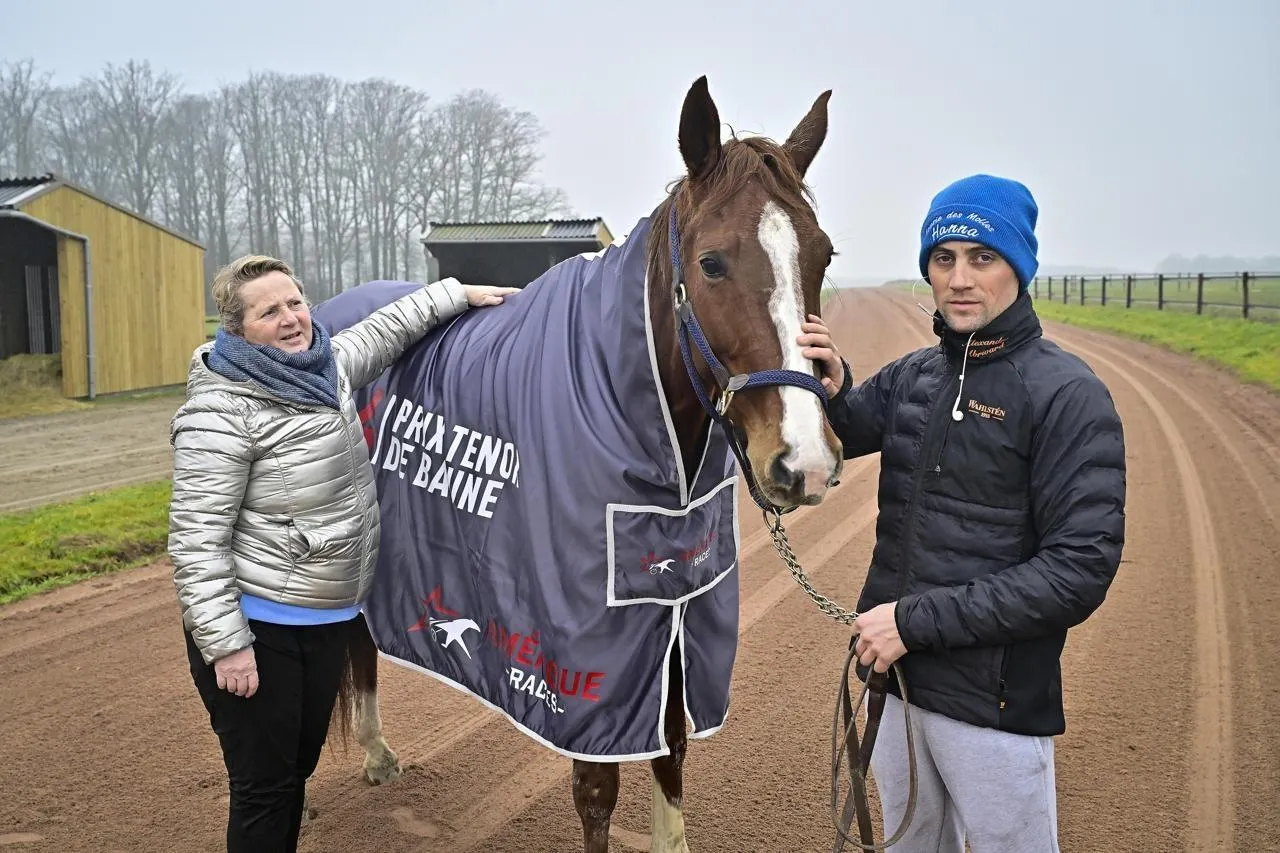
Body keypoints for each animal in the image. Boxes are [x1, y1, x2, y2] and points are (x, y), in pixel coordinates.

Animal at [316, 75, 844, 853]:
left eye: (822, 256)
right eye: (711, 261)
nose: (803, 461)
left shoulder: (674, 614)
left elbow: (672, 749)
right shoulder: (584, 656)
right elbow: (597, 789)